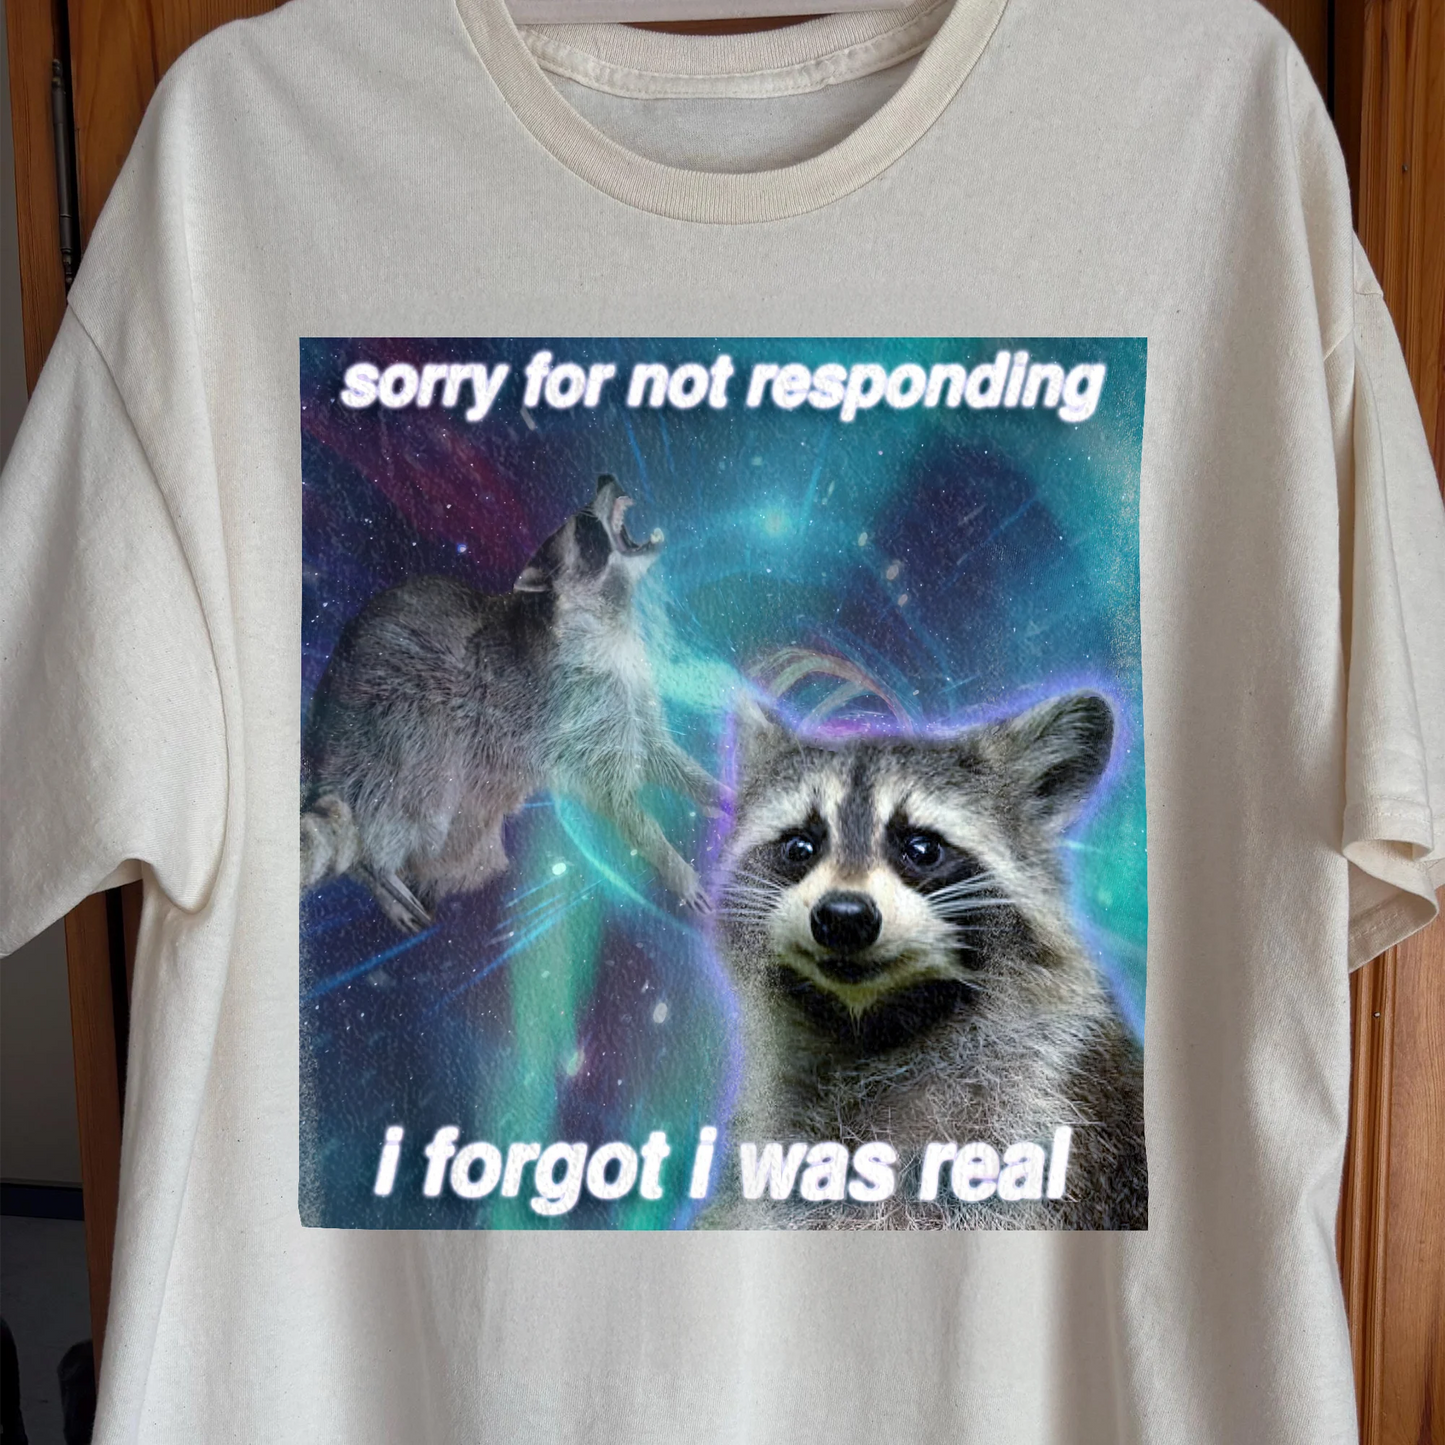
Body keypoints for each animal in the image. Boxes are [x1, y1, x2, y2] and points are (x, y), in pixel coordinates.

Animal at [301, 475, 720, 931]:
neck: (610, 616)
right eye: (584, 525)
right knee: (415, 801)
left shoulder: (631, 692)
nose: (605, 478)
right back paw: (376, 867)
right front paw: (672, 863)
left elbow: (660, 752)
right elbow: (615, 795)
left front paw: (720, 793)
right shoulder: (578, 709)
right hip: (393, 723)